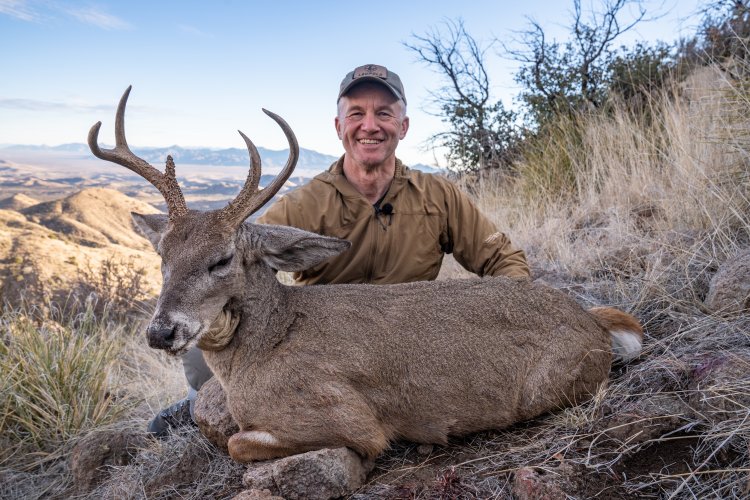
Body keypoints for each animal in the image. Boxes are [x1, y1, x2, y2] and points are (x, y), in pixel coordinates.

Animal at [89, 87, 643, 463]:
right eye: (162, 256)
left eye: (221, 259)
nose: (161, 332)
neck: (266, 345)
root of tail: (592, 322)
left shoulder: (347, 417)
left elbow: (238, 442)